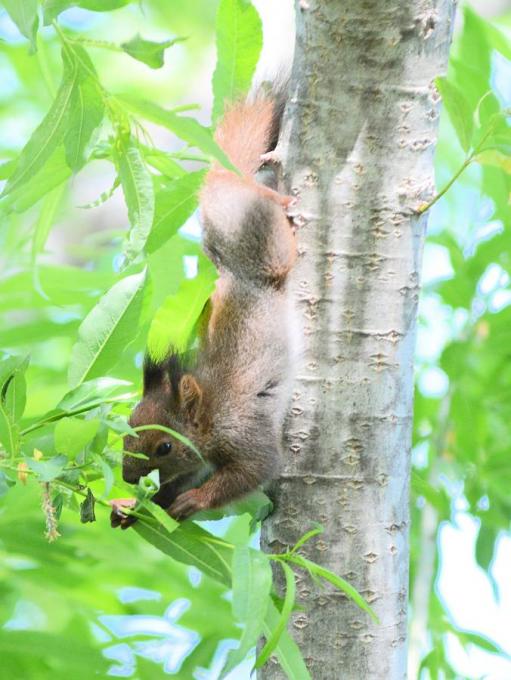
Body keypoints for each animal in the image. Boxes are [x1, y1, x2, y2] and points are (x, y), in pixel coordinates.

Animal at [111, 91, 296, 524]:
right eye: (128, 424)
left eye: (164, 447)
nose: (127, 478)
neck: (208, 413)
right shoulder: (197, 460)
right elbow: (177, 483)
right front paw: (132, 507)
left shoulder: (243, 431)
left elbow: (255, 469)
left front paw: (196, 500)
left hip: (264, 248)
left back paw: (285, 201)